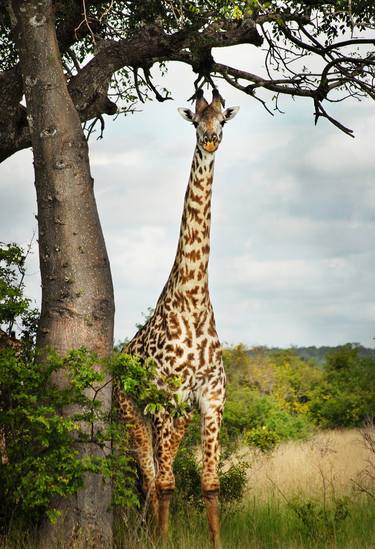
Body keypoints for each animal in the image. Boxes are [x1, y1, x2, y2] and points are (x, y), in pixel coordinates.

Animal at [117, 88, 239, 544]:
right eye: (196, 121)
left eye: (222, 120)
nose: (210, 140)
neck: (193, 299)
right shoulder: (163, 398)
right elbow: (168, 484)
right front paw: (164, 541)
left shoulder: (210, 398)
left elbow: (210, 484)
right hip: (132, 413)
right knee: (151, 477)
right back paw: (149, 534)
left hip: (178, 417)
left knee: (154, 475)